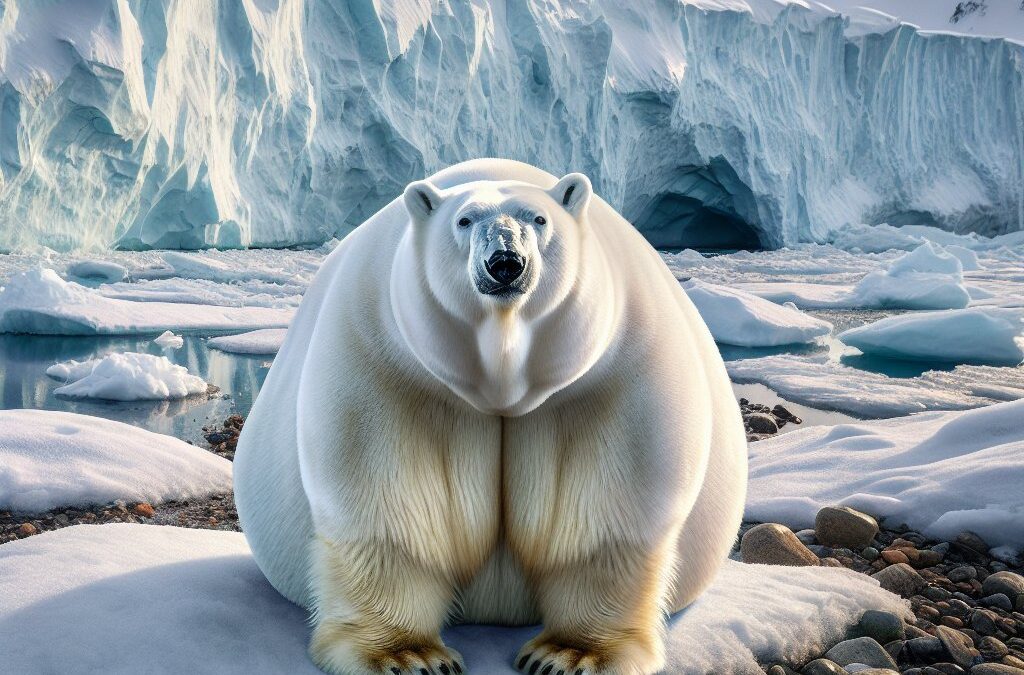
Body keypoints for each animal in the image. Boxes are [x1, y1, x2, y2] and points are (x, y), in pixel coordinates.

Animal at [233, 158, 747, 675]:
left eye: (539, 219)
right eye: (463, 220)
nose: (505, 263)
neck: (501, 381)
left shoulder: (612, 368)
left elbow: (610, 516)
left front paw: (567, 654)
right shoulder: (388, 359)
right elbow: (384, 507)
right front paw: (410, 655)